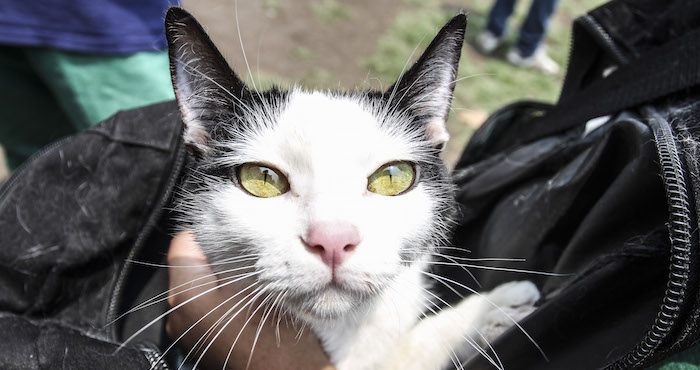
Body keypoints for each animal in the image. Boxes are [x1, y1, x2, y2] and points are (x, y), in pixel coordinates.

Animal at [161, 6, 540, 370]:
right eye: (262, 179)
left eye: (393, 177)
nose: (332, 240)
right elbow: (412, 349)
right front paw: (495, 307)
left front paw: (493, 309)